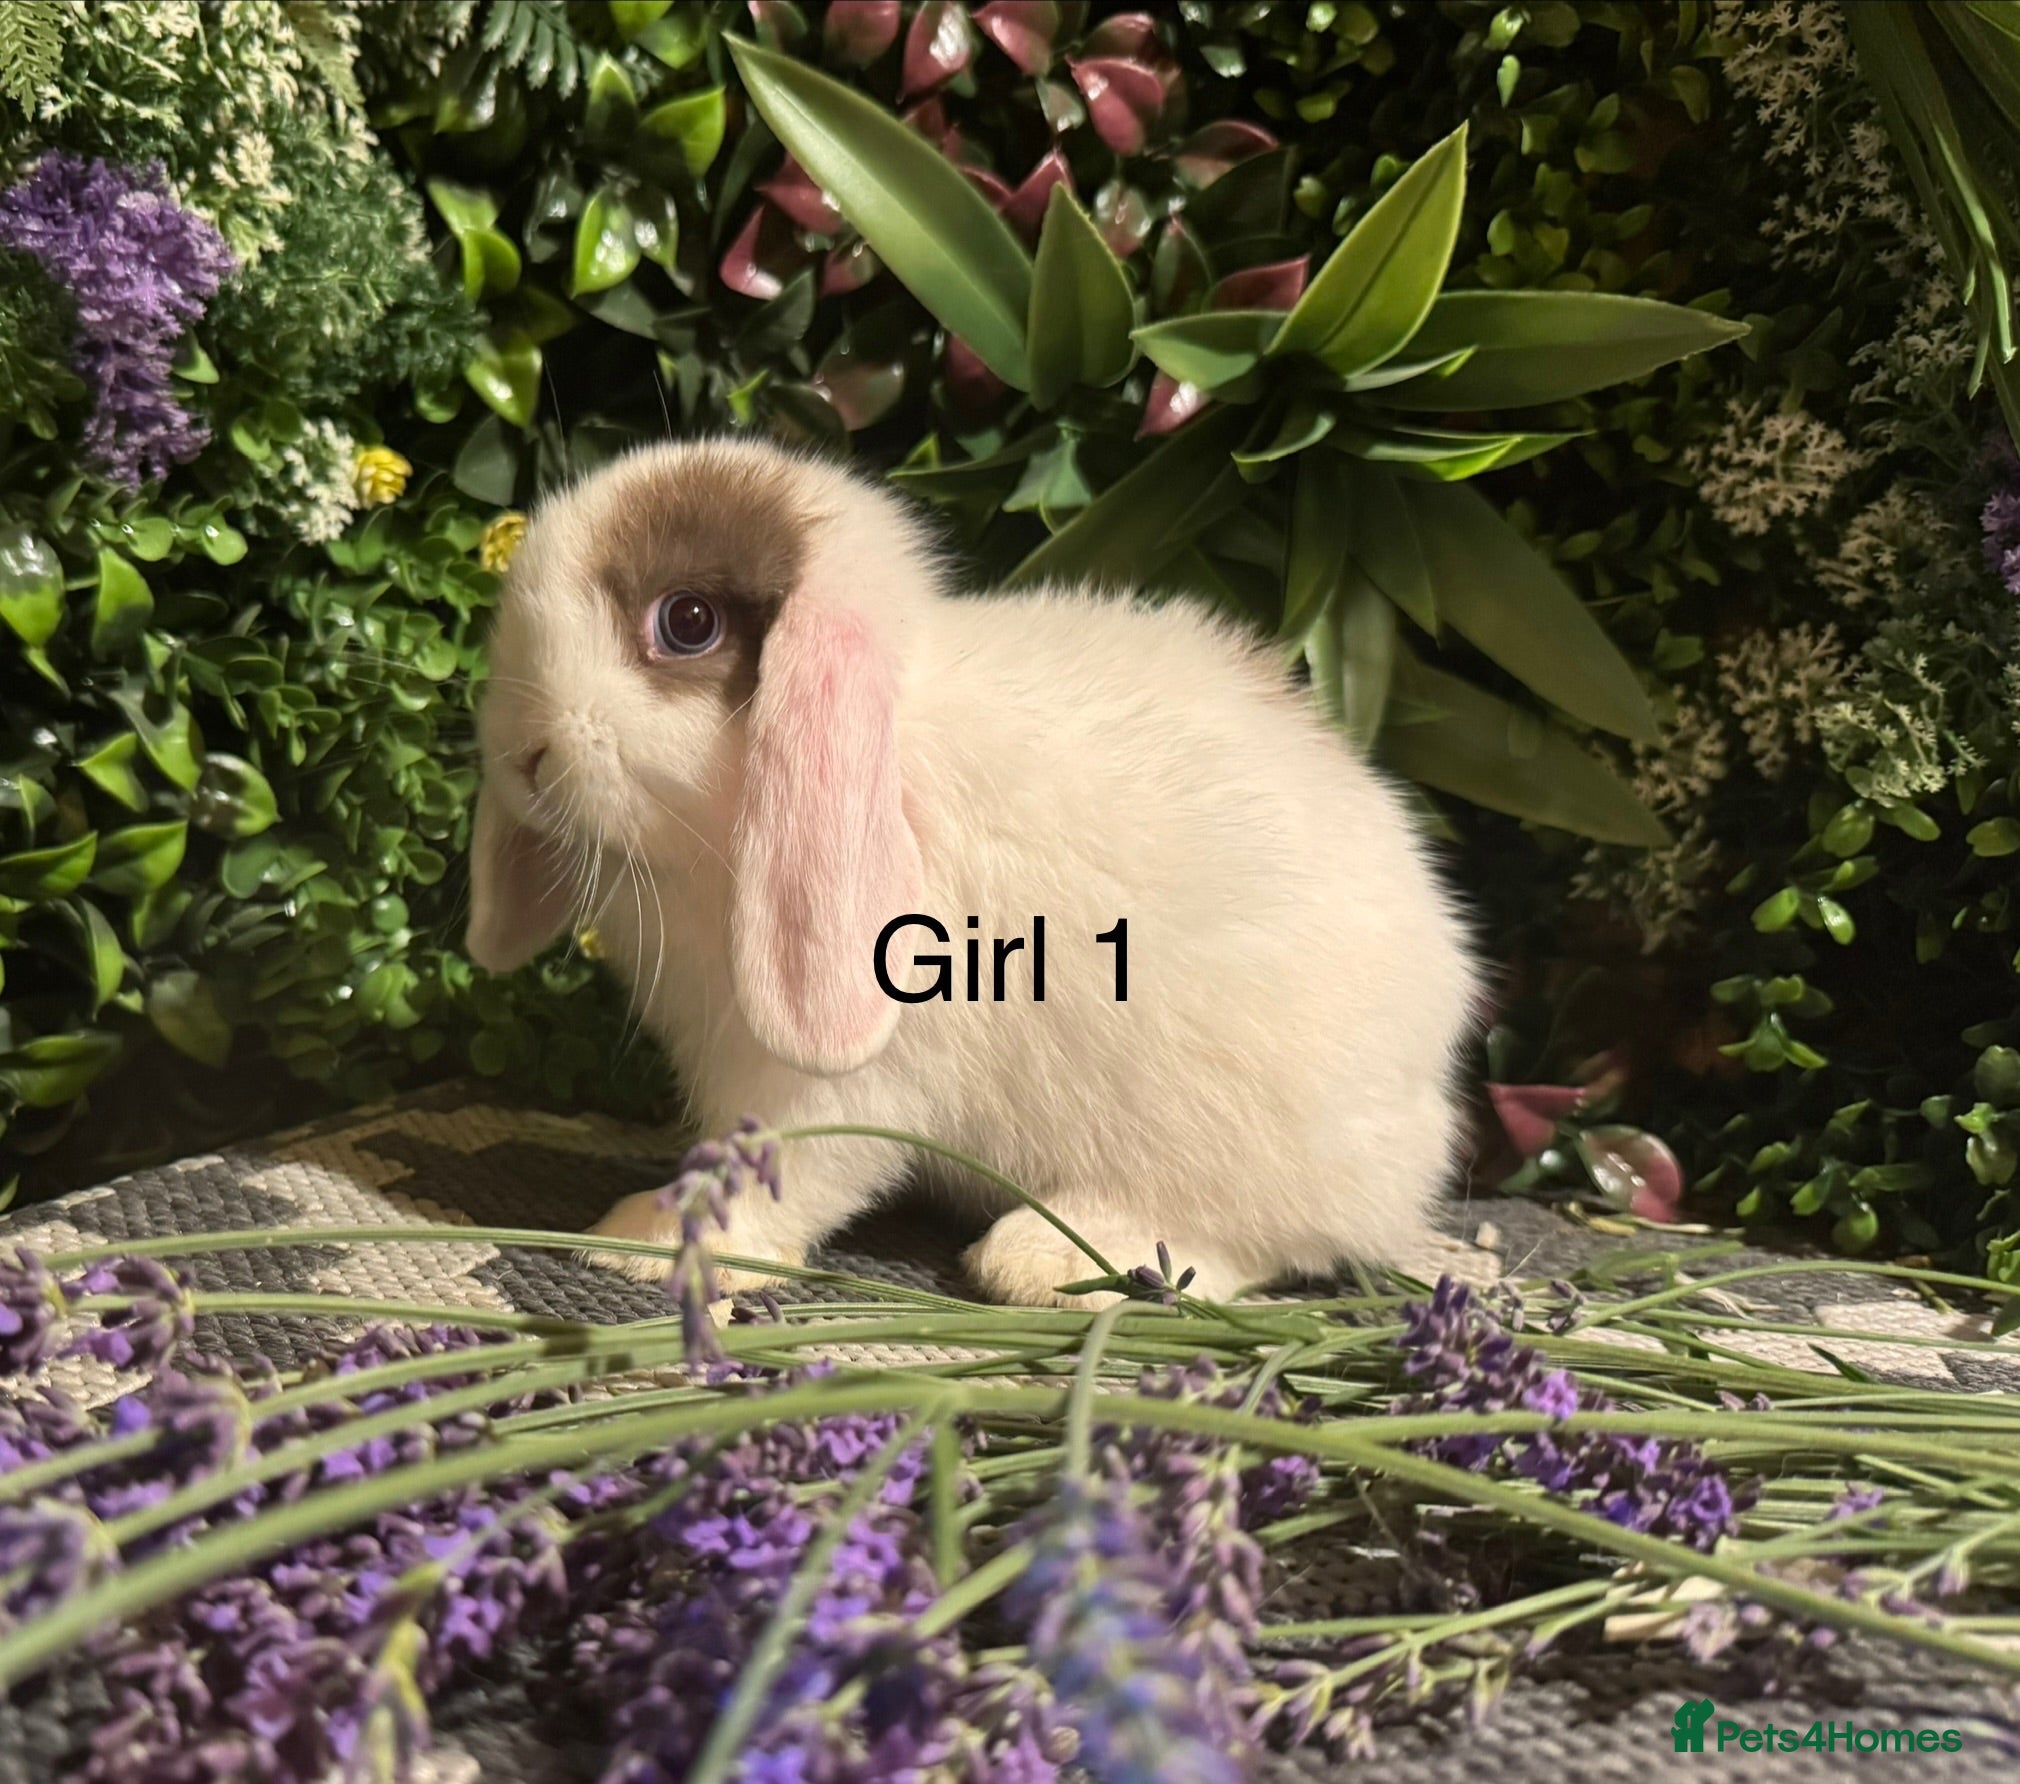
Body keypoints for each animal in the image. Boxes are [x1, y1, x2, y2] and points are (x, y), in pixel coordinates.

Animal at [465, 435, 1482, 1307]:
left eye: (687, 621)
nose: (523, 753)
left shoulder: (838, 1078)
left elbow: (787, 1158)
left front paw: (644, 1240)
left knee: (1257, 1240)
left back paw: (1053, 1258)